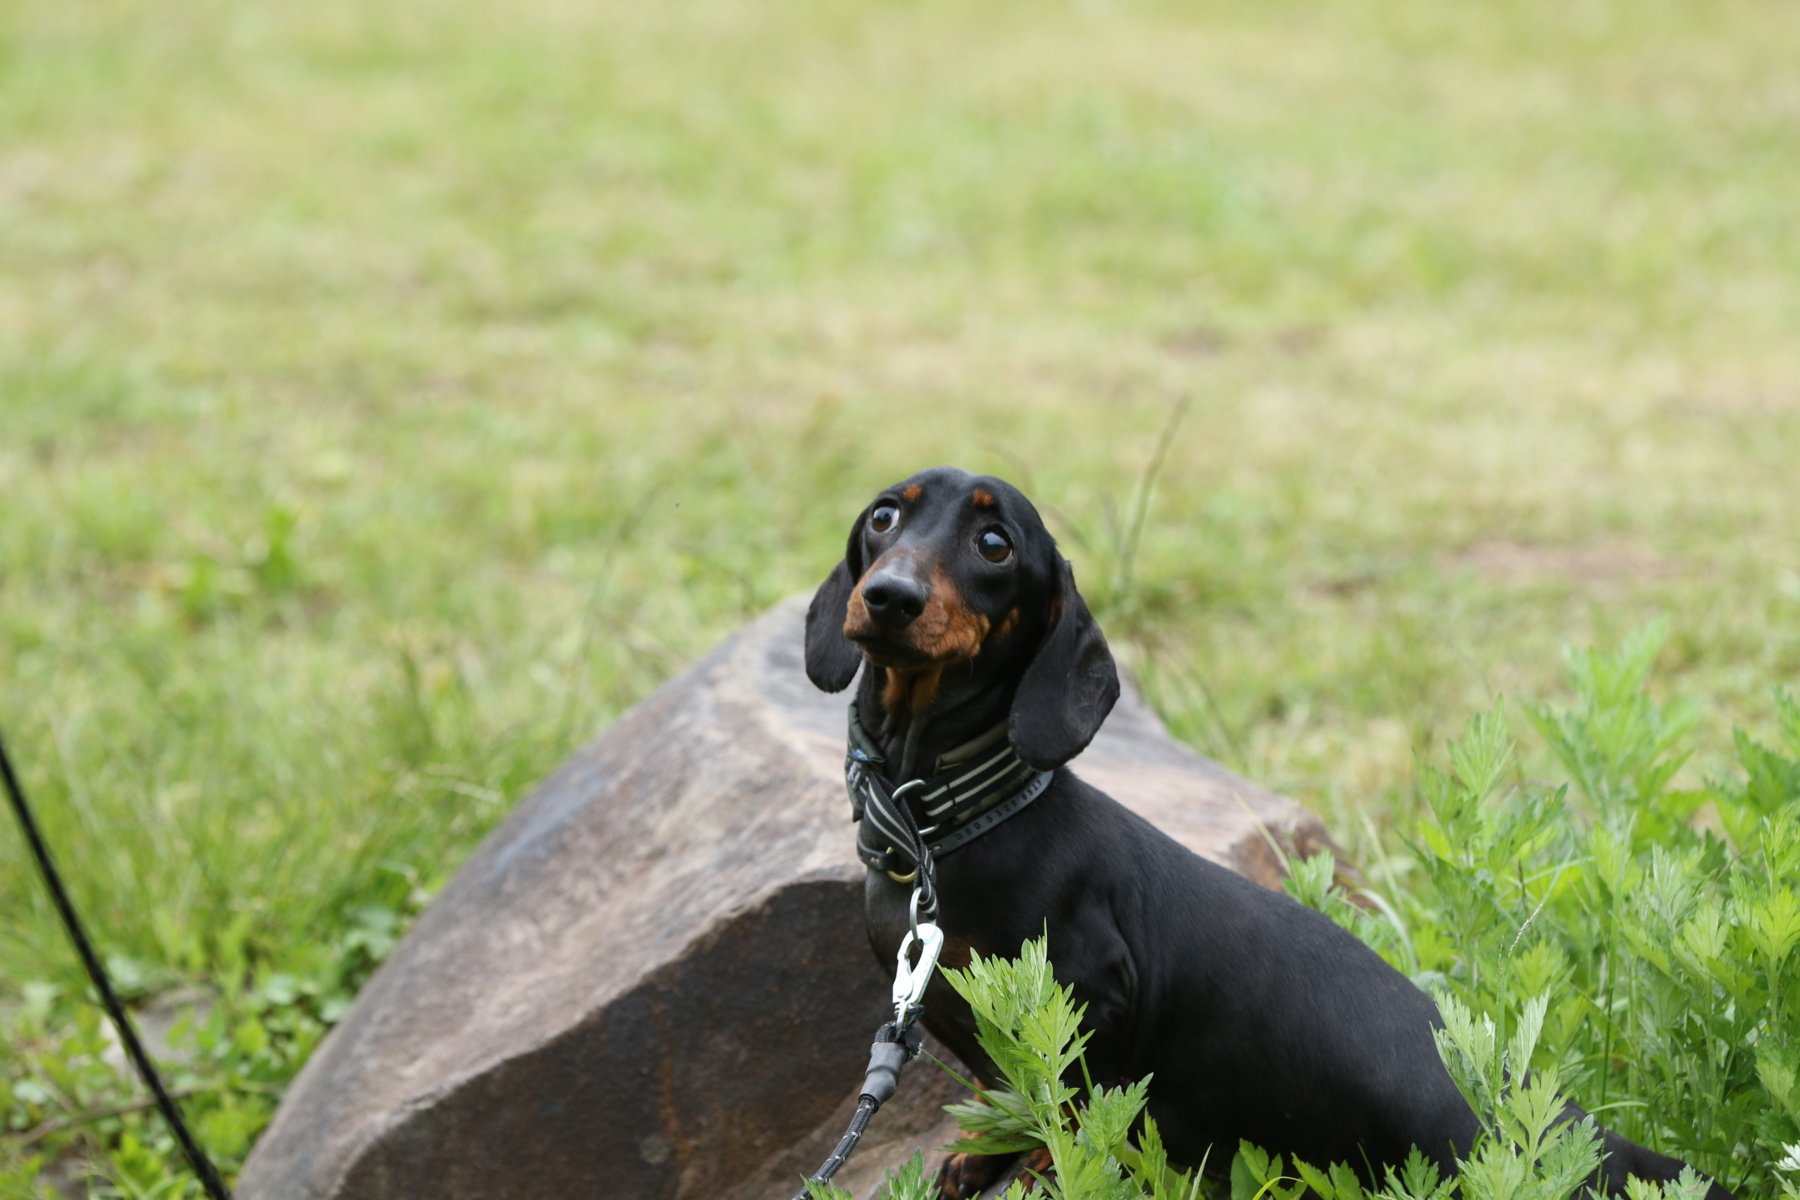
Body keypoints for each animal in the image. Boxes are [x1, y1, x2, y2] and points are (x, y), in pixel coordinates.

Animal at [802, 467, 1728, 1200]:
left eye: (994, 543)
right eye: (884, 516)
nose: (889, 598)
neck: (942, 827)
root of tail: (1559, 1115)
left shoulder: (1088, 997)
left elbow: (1063, 1103)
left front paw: (1034, 1167)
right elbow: (1006, 1091)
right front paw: (978, 1156)